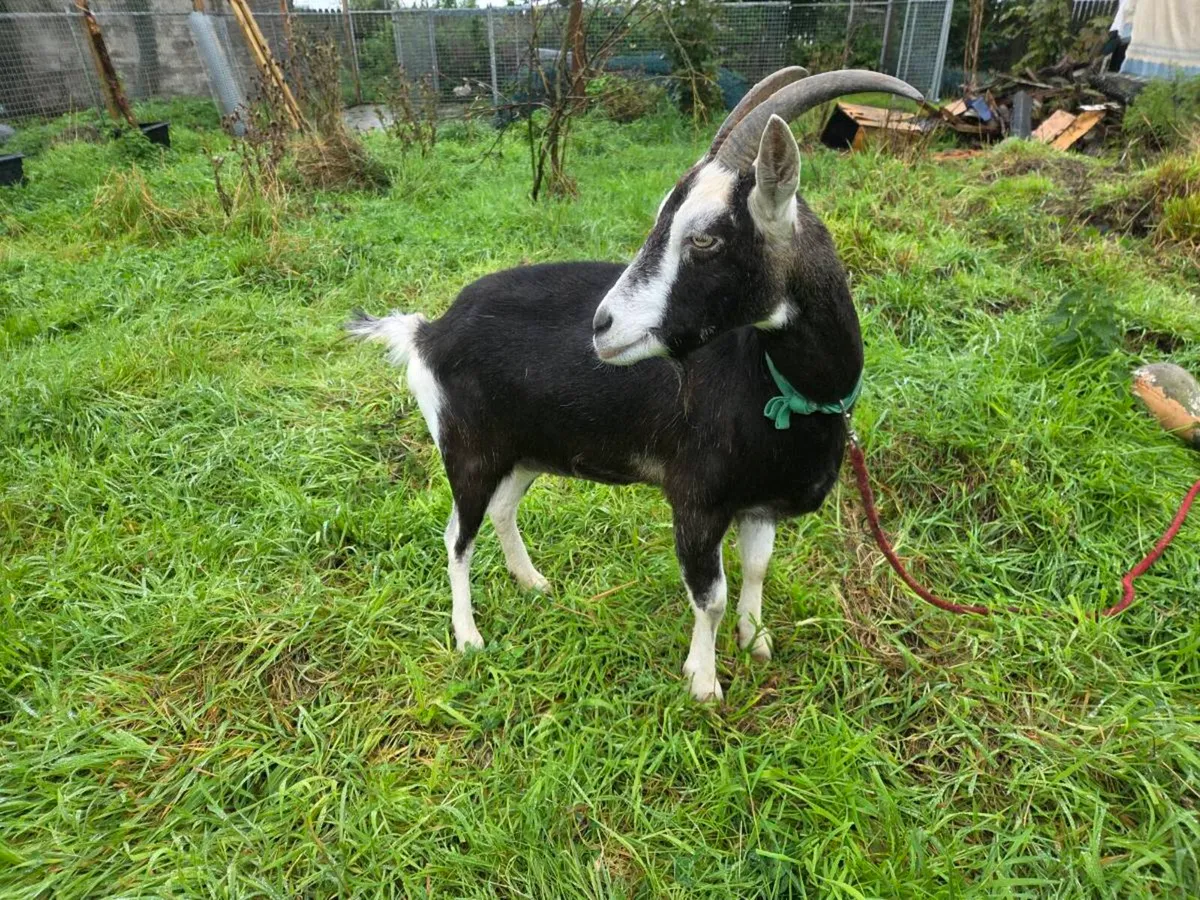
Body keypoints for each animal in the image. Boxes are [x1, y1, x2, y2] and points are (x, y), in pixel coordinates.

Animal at [349, 69, 924, 700]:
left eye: (703, 239)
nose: (601, 326)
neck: (783, 391)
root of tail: (429, 331)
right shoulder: (697, 499)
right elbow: (711, 596)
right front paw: (704, 681)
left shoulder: (758, 505)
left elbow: (757, 568)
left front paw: (756, 640)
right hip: (468, 448)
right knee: (457, 535)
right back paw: (468, 636)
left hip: (525, 450)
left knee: (501, 510)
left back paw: (532, 582)